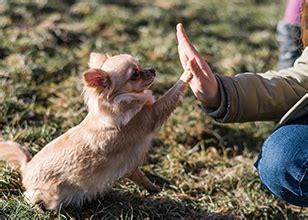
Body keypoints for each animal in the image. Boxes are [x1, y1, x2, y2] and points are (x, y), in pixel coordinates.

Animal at [0, 52, 192, 210]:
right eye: (134, 74)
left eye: (140, 63)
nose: (152, 69)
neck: (122, 101)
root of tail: (26, 167)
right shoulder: (153, 115)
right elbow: (171, 93)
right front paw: (189, 70)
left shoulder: (131, 165)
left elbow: (141, 177)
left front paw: (155, 188)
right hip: (52, 195)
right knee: (30, 197)